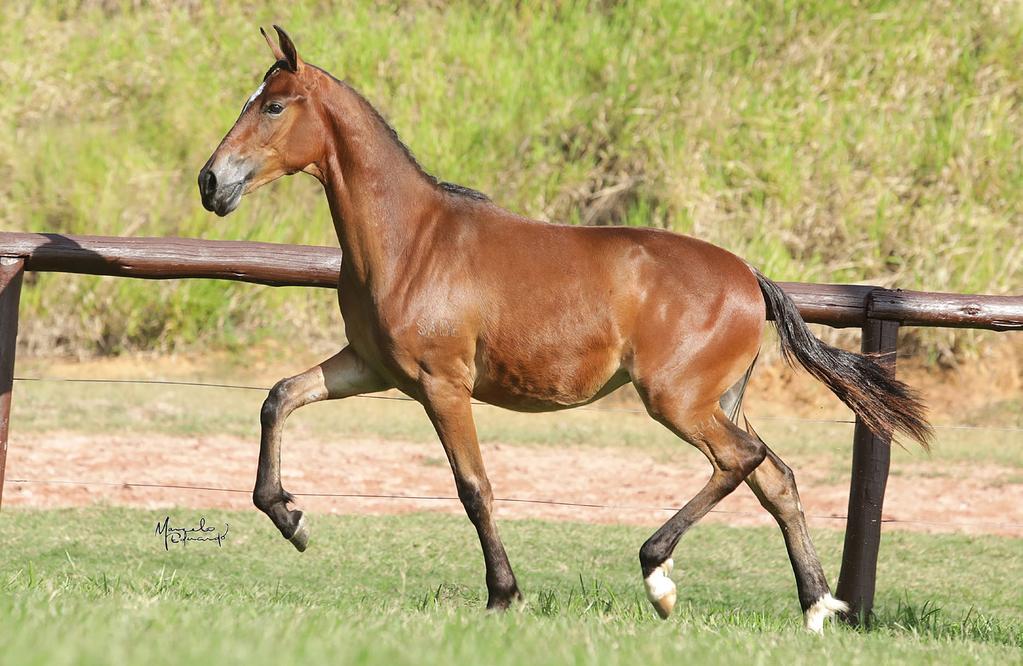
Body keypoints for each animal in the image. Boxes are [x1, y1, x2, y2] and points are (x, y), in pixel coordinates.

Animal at [195, 24, 932, 630]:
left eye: (273, 105)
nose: (210, 182)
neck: (412, 242)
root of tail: (750, 277)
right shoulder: (371, 367)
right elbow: (278, 397)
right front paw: (290, 518)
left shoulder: (442, 383)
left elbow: (474, 488)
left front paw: (503, 595)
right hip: (717, 399)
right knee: (774, 476)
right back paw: (815, 607)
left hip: (676, 400)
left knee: (740, 461)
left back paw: (659, 575)